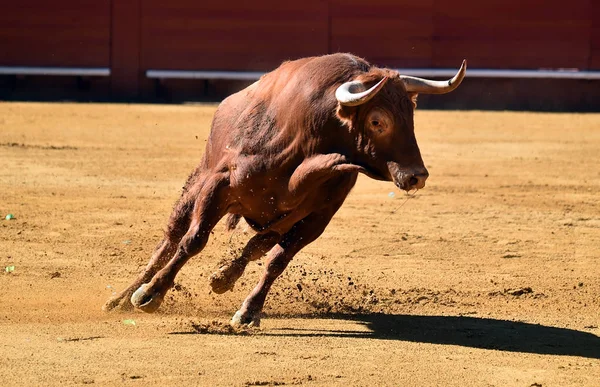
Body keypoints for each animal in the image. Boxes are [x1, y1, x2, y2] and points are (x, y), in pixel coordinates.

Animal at [103, 53, 466, 328]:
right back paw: (124, 296)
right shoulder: (219, 185)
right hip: (197, 184)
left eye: (411, 116)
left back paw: (223, 277)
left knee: (257, 245)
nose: (417, 176)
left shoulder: (317, 218)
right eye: (378, 121)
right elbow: (193, 241)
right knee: (170, 240)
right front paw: (150, 294)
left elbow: (276, 260)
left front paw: (248, 311)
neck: (311, 146)